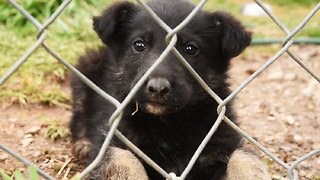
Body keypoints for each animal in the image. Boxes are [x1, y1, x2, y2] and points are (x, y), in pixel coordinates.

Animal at [70, 0, 270, 179]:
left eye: (191, 49)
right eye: (139, 45)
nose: (157, 88)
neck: (169, 124)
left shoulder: (221, 139)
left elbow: (244, 156)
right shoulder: (114, 137)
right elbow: (123, 160)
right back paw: (83, 143)